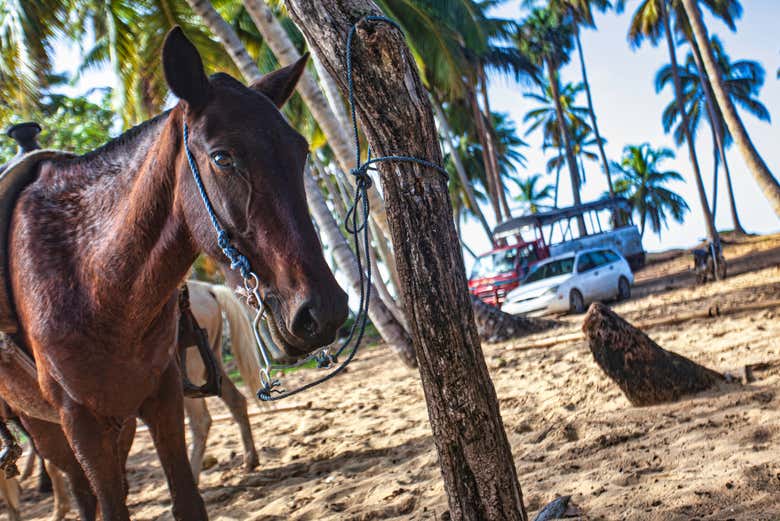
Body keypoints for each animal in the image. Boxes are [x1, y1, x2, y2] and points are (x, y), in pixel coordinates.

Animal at [0, 26, 348, 521]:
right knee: (81, 490)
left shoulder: (160, 397)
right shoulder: (80, 422)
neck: (91, 280)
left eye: (300, 151)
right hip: (46, 423)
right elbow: (107, 503)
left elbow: (186, 500)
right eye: (222, 158)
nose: (325, 311)